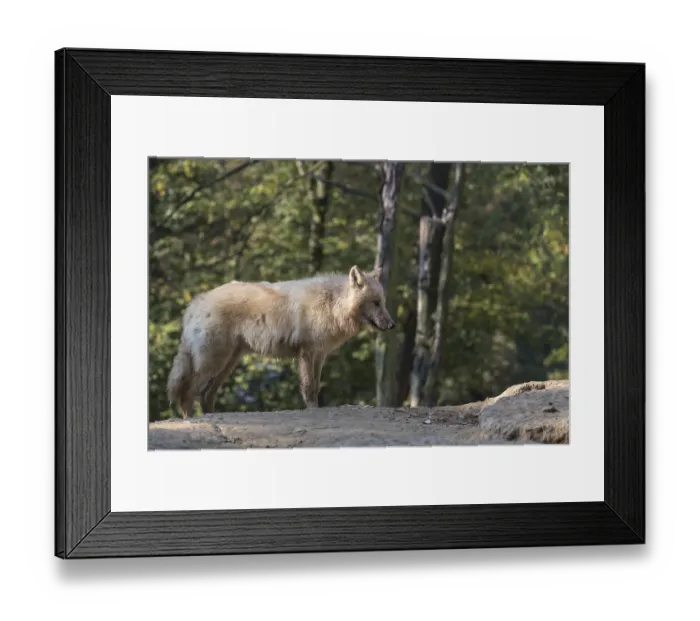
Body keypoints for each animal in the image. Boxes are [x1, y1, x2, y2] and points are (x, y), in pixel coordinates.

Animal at [166, 265, 395, 418]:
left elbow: (315, 387)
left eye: (383, 303)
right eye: (375, 303)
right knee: (188, 392)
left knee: (205, 395)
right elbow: (308, 388)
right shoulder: (306, 354)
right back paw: (192, 420)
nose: (392, 325)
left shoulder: (319, 356)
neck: (332, 305)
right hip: (213, 362)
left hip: (226, 364)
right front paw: (312, 411)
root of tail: (196, 302)